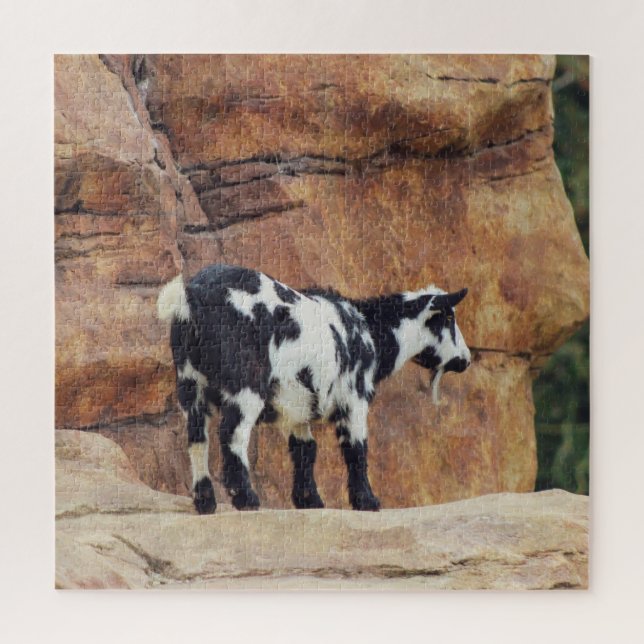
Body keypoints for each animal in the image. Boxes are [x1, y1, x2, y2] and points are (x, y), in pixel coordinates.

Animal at [157, 264, 470, 514]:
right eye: (449, 319)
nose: (466, 360)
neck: (369, 329)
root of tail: (190, 297)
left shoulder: (298, 406)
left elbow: (305, 449)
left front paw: (310, 501)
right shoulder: (354, 398)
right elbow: (356, 449)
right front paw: (367, 502)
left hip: (189, 382)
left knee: (197, 437)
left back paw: (205, 502)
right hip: (245, 384)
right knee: (232, 434)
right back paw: (246, 498)